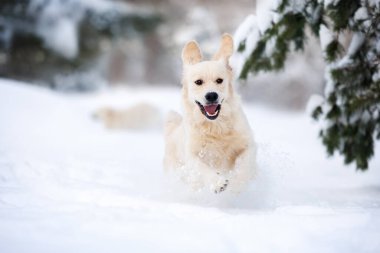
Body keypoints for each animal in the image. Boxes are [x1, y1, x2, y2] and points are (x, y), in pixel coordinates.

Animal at [164, 34, 256, 194]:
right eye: (198, 82)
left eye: (219, 80)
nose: (212, 95)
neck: (216, 126)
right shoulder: (191, 155)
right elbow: (202, 167)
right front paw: (218, 182)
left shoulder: (248, 144)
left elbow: (244, 164)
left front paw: (238, 183)